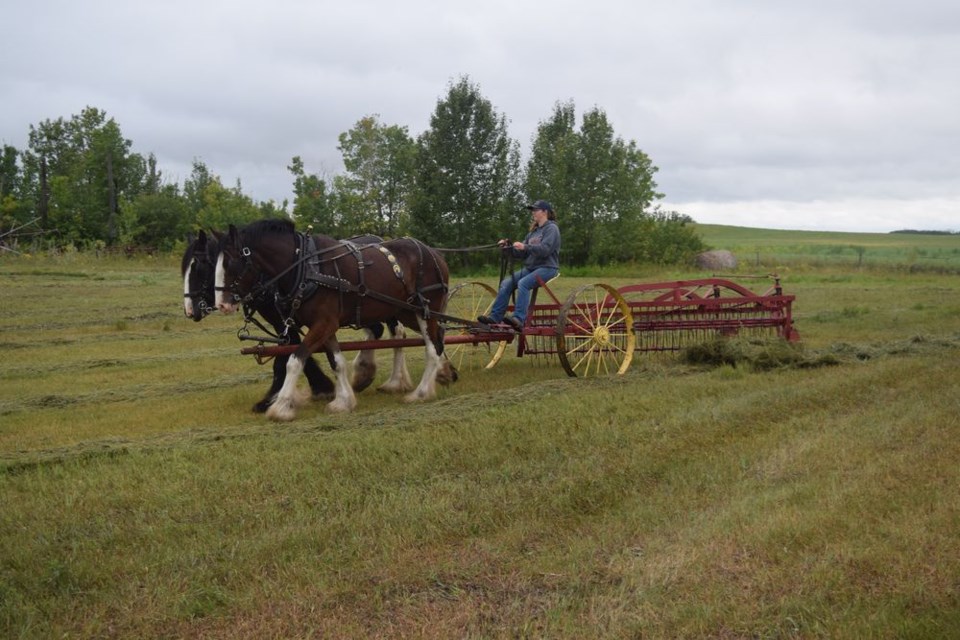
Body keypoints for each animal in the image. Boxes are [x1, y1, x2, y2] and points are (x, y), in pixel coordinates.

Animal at [182, 228, 410, 412]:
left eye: (200, 265)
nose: (190, 310)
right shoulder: (288, 324)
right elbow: (295, 352)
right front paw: (323, 388)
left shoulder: (290, 323)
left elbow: (284, 359)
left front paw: (273, 400)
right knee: (378, 331)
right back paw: (365, 373)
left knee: (397, 334)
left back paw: (395, 380)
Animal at [214, 220, 454, 420]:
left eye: (231, 264)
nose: (221, 305)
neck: (306, 267)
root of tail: (435, 254)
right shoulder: (324, 326)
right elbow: (336, 362)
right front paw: (343, 401)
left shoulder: (324, 323)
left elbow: (294, 360)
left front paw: (280, 407)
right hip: (407, 312)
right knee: (436, 338)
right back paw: (439, 374)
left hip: (426, 311)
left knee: (432, 348)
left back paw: (421, 393)